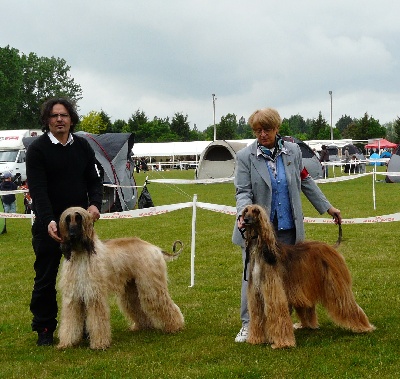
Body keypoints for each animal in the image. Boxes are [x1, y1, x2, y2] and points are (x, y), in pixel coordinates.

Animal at [56, 208, 184, 350]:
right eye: (68, 220)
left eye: (79, 219)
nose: (72, 235)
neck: (81, 253)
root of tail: (154, 248)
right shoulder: (72, 296)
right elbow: (70, 320)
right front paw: (67, 343)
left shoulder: (94, 294)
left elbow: (97, 320)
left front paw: (100, 344)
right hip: (132, 287)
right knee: (136, 305)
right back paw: (143, 326)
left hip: (151, 285)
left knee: (164, 304)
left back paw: (175, 326)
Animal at [241, 205, 376, 350]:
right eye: (245, 211)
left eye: (256, 211)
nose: (246, 220)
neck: (262, 250)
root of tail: (330, 247)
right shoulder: (256, 294)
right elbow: (256, 315)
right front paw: (255, 339)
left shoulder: (274, 292)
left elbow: (278, 314)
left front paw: (282, 343)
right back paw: (307, 325)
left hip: (336, 285)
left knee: (347, 304)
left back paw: (364, 327)